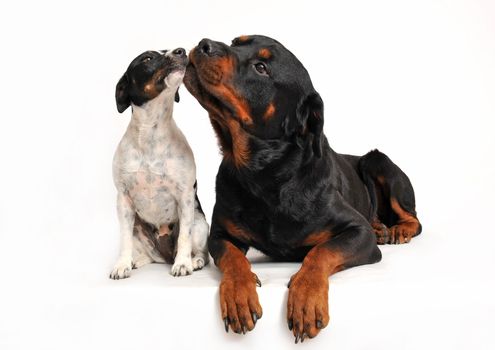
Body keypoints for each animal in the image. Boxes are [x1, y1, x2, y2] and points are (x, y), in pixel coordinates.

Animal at [109, 48, 208, 278]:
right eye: (147, 58)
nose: (181, 50)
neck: (151, 134)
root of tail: (166, 255)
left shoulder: (185, 196)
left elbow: (184, 237)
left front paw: (182, 264)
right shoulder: (123, 200)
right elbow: (124, 241)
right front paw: (122, 265)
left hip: (200, 225)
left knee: (201, 252)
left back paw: (194, 261)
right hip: (137, 227)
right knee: (149, 256)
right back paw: (136, 261)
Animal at [184, 34, 420, 342]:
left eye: (261, 68)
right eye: (236, 42)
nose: (204, 44)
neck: (265, 173)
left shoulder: (358, 232)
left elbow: (321, 252)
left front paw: (306, 298)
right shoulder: (221, 234)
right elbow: (233, 258)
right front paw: (238, 294)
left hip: (376, 161)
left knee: (414, 218)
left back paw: (398, 230)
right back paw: (382, 228)